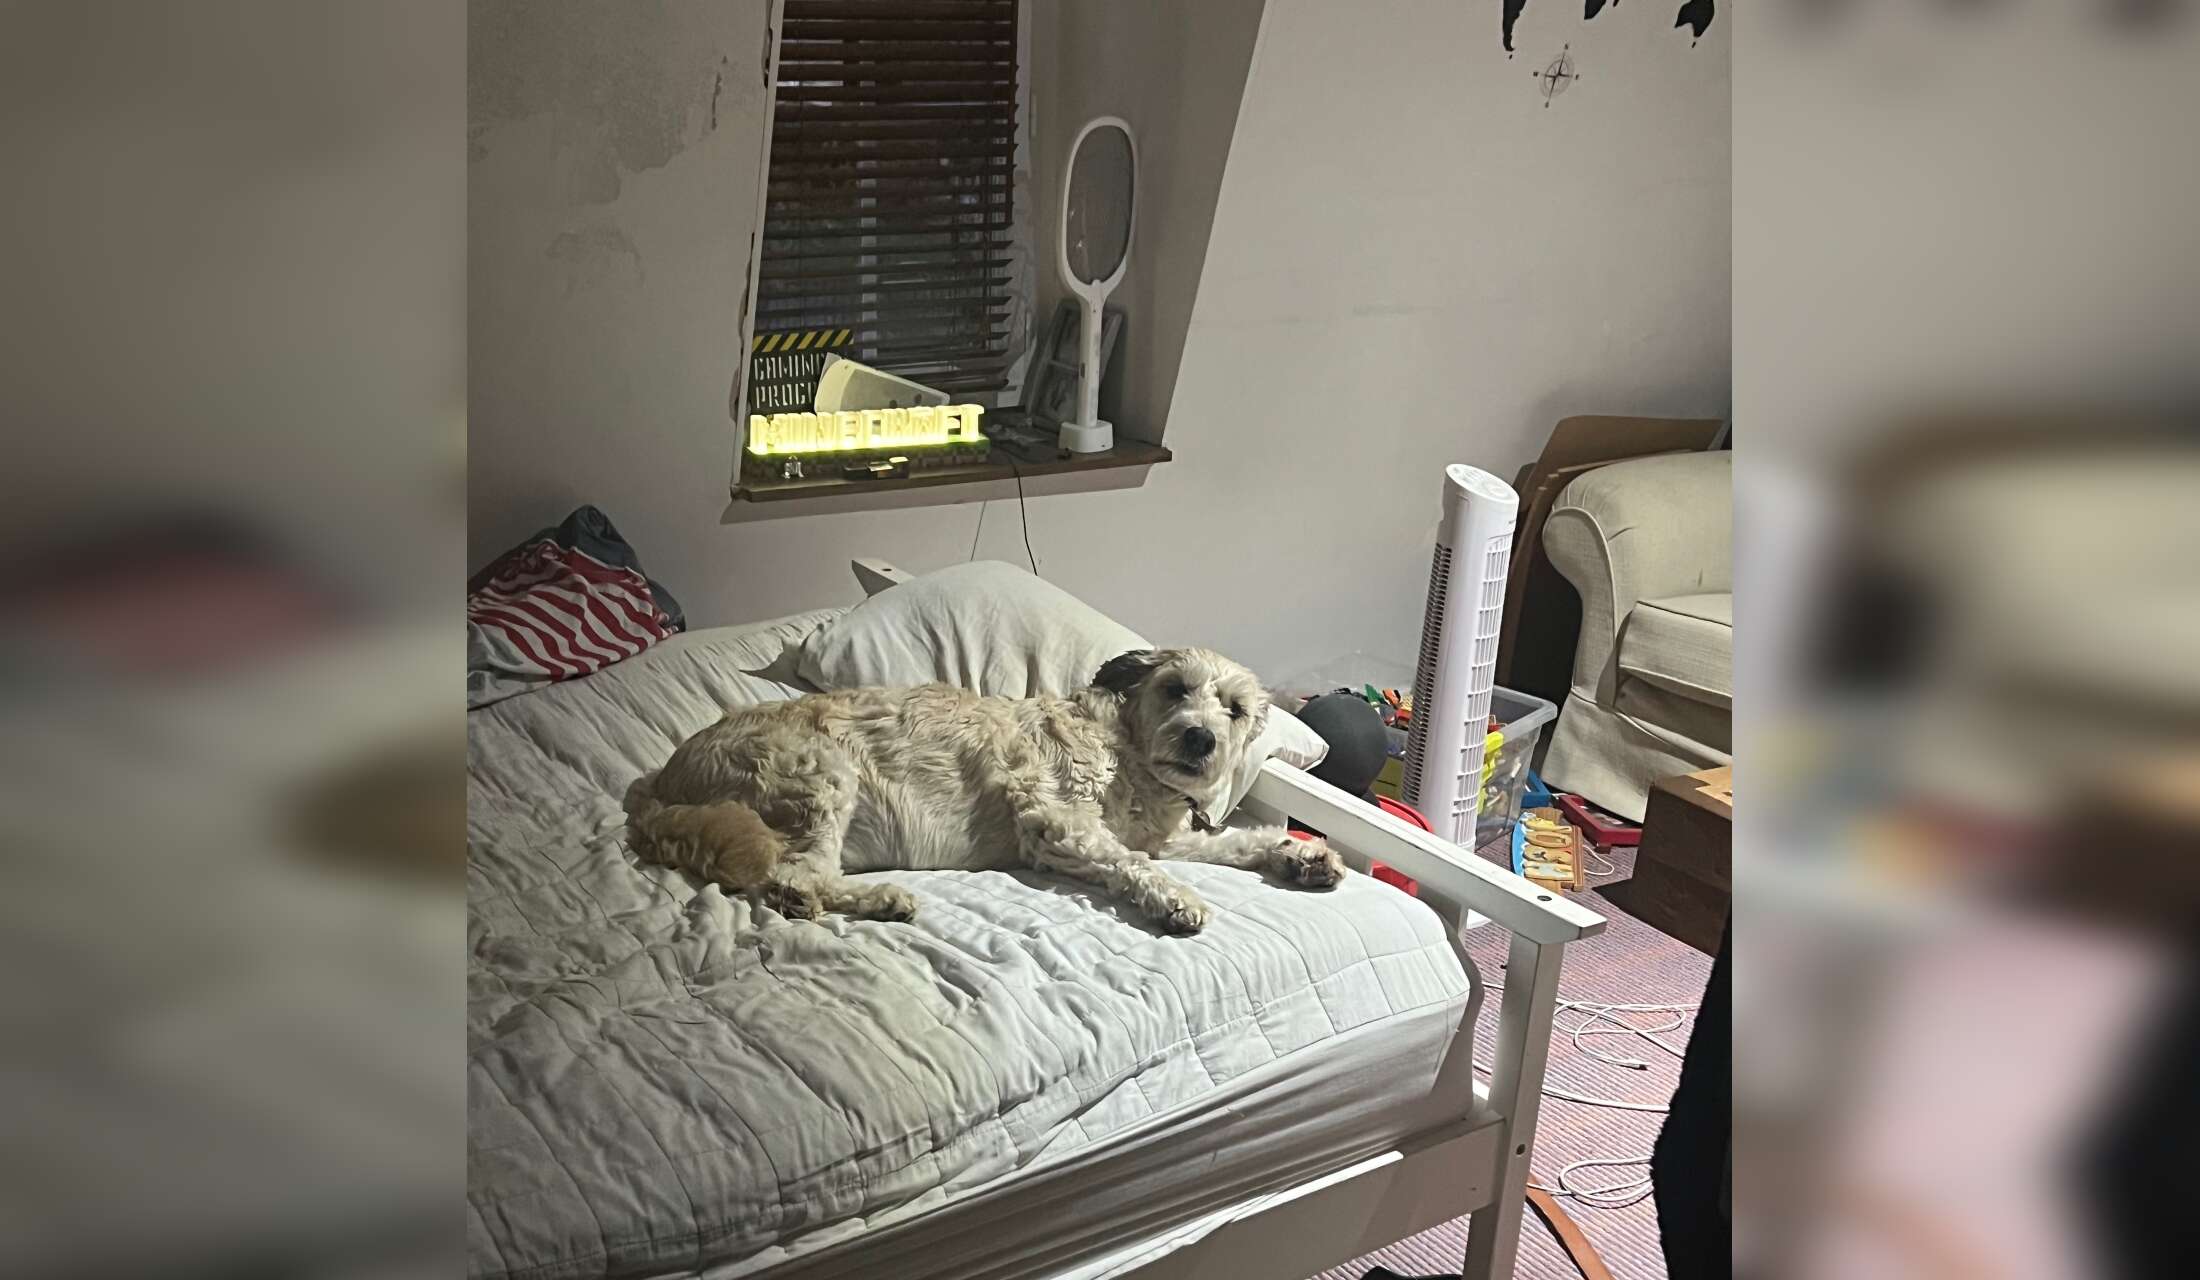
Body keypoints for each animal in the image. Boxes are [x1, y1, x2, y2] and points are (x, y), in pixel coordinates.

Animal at [625, 647, 1348, 933]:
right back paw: (881, 898)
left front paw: (1302, 855)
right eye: (1175, 689)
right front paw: (1177, 900)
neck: (1129, 753)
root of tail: (662, 784)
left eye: (1234, 709)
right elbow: (1135, 865)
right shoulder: (1057, 822)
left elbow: (1238, 842)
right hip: (820, 771)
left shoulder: (1165, 836)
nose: (1200, 738)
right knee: (794, 881)